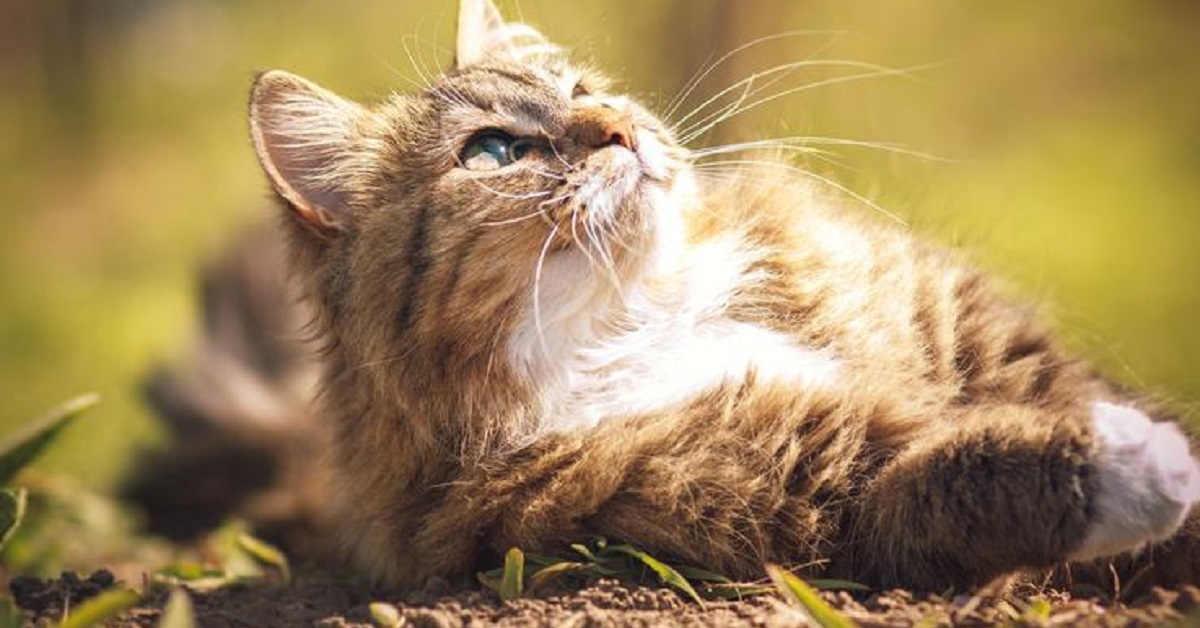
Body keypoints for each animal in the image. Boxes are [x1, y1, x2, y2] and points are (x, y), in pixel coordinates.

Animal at [131, 0, 1200, 595]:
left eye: (581, 86)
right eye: (494, 151)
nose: (617, 126)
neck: (647, 313)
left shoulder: (983, 339)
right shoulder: (803, 494)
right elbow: (969, 470)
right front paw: (1141, 467)